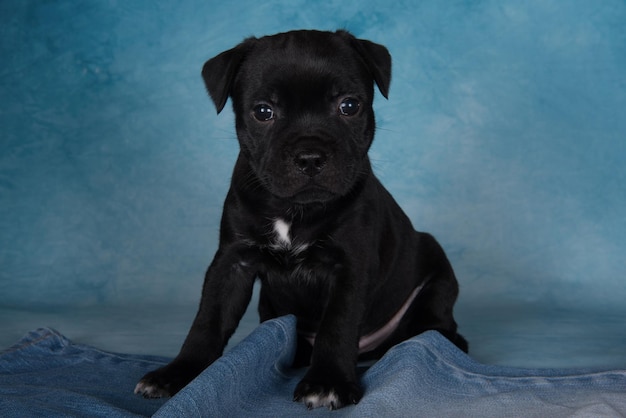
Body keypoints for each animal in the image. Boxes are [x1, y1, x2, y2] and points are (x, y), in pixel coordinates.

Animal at [138, 30, 468, 412]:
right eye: (263, 112)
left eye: (349, 106)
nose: (310, 157)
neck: (294, 209)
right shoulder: (231, 262)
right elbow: (208, 319)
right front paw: (178, 373)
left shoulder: (350, 267)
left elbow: (337, 325)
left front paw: (328, 382)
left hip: (438, 272)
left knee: (435, 320)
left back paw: (440, 339)